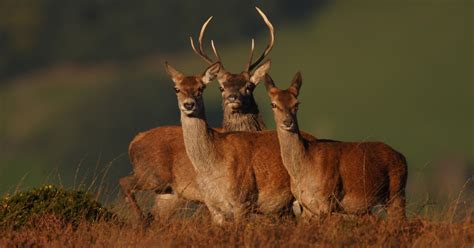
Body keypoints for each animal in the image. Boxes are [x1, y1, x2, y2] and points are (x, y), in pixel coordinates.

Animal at [118, 6, 280, 222]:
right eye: (221, 87)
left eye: (249, 86)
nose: (233, 97)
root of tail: (134, 141)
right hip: (152, 175)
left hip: (168, 193)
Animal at [262, 72, 408, 220]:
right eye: (273, 104)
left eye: (296, 103)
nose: (288, 121)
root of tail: (402, 157)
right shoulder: (307, 207)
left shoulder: (328, 201)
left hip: (397, 192)